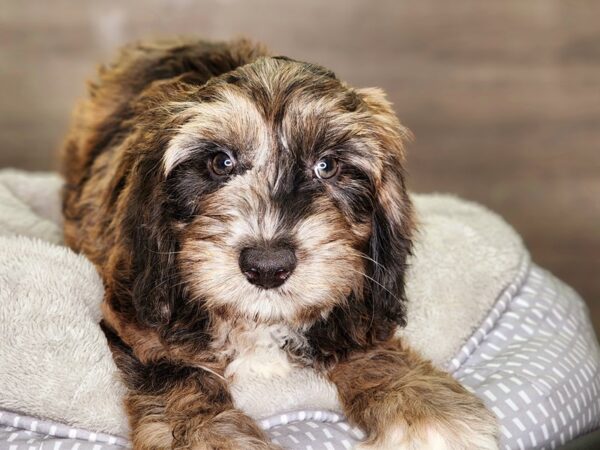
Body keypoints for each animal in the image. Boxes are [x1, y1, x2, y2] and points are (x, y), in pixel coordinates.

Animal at [62, 38, 496, 450]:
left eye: (327, 165)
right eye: (220, 163)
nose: (267, 265)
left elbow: (364, 345)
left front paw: (424, 406)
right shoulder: (132, 317)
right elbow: (173, 371)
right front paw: (206, 433)